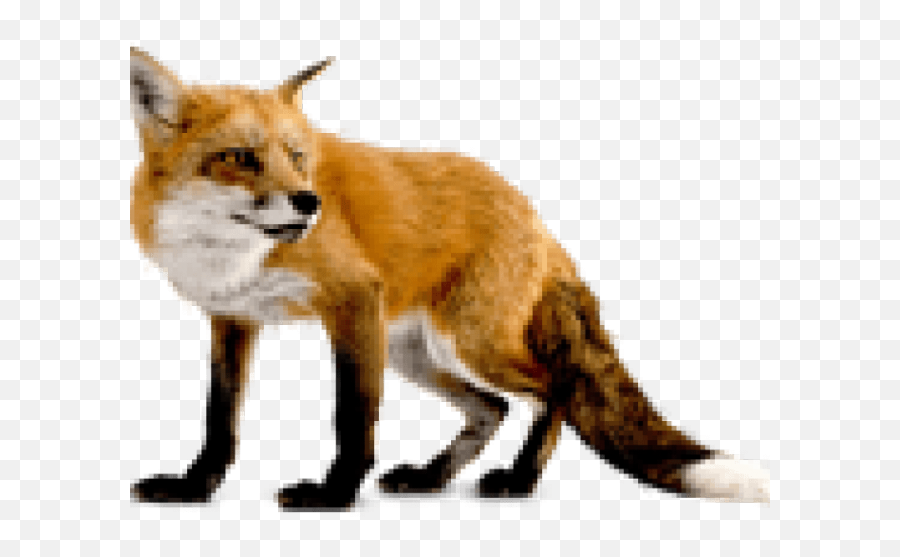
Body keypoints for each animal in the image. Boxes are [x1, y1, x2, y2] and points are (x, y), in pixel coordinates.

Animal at [127, 47, 769, 510]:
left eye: (298, 156)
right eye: (239, 158)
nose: (309, 204)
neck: (230, 255)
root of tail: (533, 215)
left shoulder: (352, 299)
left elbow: (352, 417)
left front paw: (334, 494)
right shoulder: (233, 318)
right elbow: (220, 420)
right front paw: (194, 487)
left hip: (467, 342)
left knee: (554, 389)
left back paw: (518, 480)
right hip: (412, 353)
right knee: (493, 409)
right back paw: (431, 478)